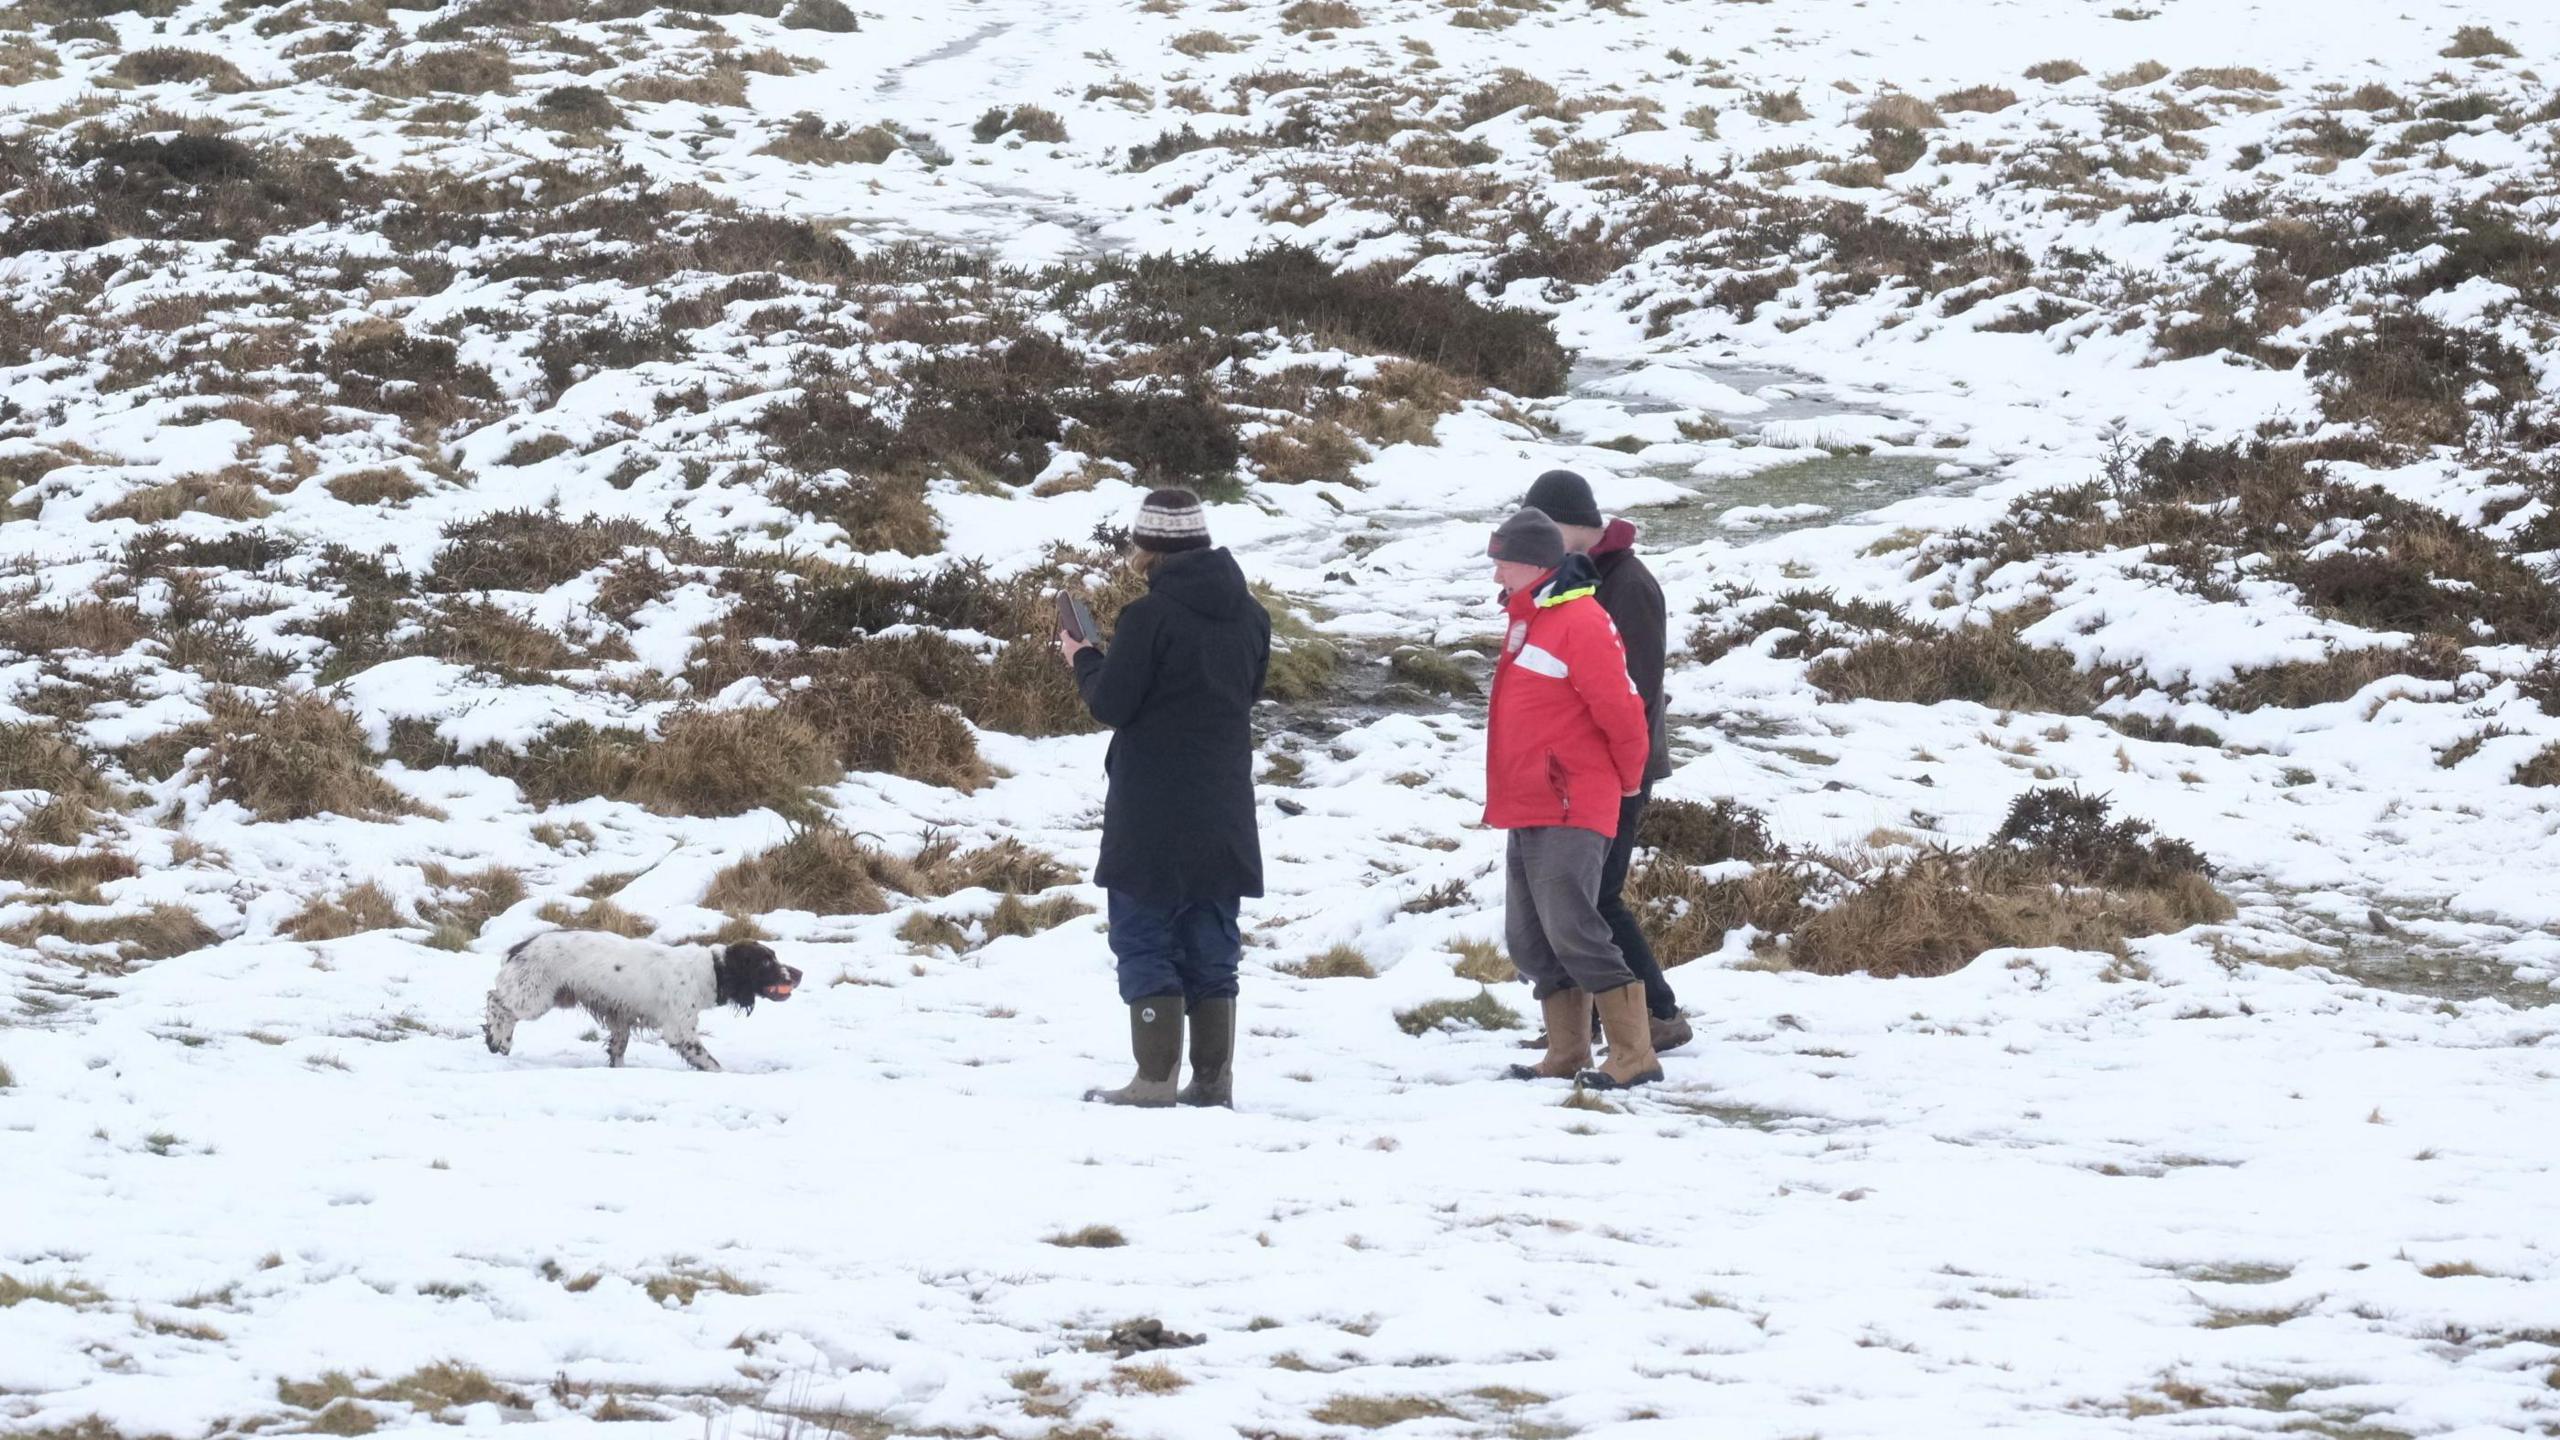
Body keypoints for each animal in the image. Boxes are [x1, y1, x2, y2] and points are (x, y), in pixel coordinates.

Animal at [478, 932, 798, 1065]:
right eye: (766, 962)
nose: (799, 973)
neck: (712, 970)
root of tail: (521, 946)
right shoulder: (680, 1030)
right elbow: (711, 1063)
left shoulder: (621, 1017)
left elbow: (618, 1050)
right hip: (535, 997)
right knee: (496, 1000)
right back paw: (499, 1040)